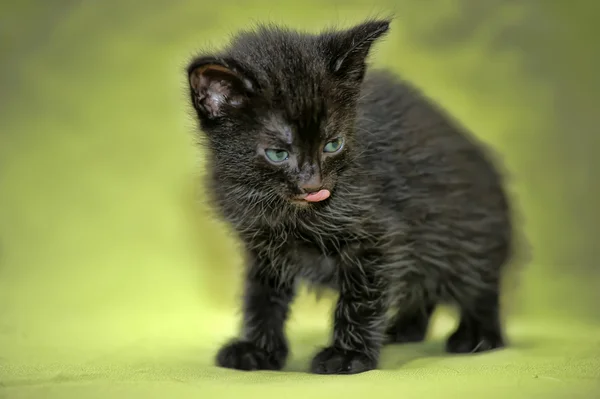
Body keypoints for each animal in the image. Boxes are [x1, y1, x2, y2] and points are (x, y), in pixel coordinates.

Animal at [188, 18, 516, 376]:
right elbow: (262, 295)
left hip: (471, 233)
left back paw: (479, 335)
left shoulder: (377, 236)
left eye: (333, 144)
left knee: (479, 284)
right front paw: (257, 349)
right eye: (277, 153)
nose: (313, 184)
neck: (285, 211)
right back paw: (404, 329)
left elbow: (361, 297)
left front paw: (347, 355)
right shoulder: (263, 246)